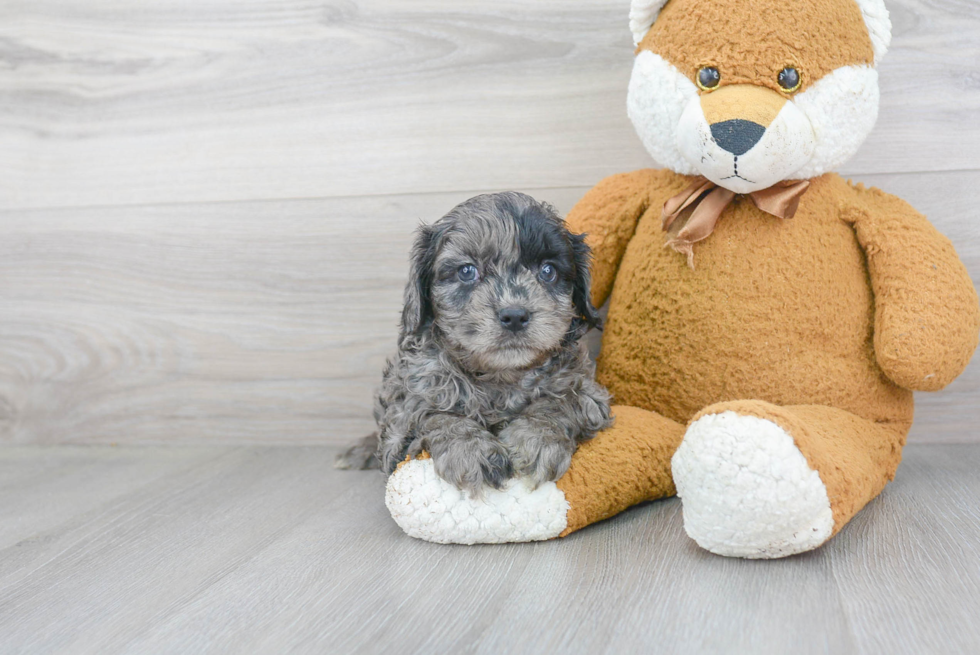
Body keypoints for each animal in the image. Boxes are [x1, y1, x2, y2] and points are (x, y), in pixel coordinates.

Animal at [336, 192, 612, 494]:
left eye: (548, 270)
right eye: (467, 271)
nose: (514, 316)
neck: (499, 377)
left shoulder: (588, 392)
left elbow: (562, 401)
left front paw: (537, 438)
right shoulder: (400, 424)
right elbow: (435, 414)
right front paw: (470, 450)